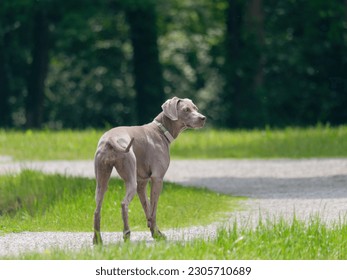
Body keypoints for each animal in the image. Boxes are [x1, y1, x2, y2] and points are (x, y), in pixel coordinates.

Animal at [93, 96, 207, 243]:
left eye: (196, 108)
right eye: (186, 110)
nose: (203, 118)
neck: (161, 130)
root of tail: (110, 139)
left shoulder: (142, 182)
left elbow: (147, 207)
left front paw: (155, 231)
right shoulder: (157, 179)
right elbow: (154, 210)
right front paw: (156, 234)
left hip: (101, 179)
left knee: (97, 209)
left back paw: (97, 240)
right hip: (130, 176)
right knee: (124, 203)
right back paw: (126, 234)